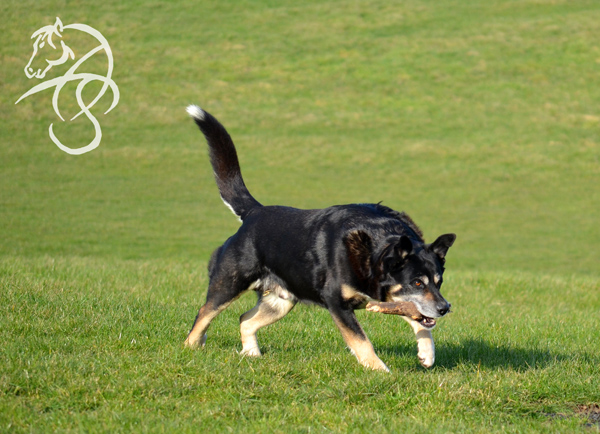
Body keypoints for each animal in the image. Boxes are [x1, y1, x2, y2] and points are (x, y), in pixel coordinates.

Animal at [183, 106, 454, 372]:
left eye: (438, 282)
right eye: (417, 282)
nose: (445, 308)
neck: (374, 249)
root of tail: (254, 212)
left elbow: (419, 320)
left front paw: (426, 354)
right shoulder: (337, 302)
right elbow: (361, 340)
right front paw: (379, 371)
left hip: (282, 300)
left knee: (245, 320)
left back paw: (251, 354)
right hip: (230, 282)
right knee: (204, 313)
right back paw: (192, 346)